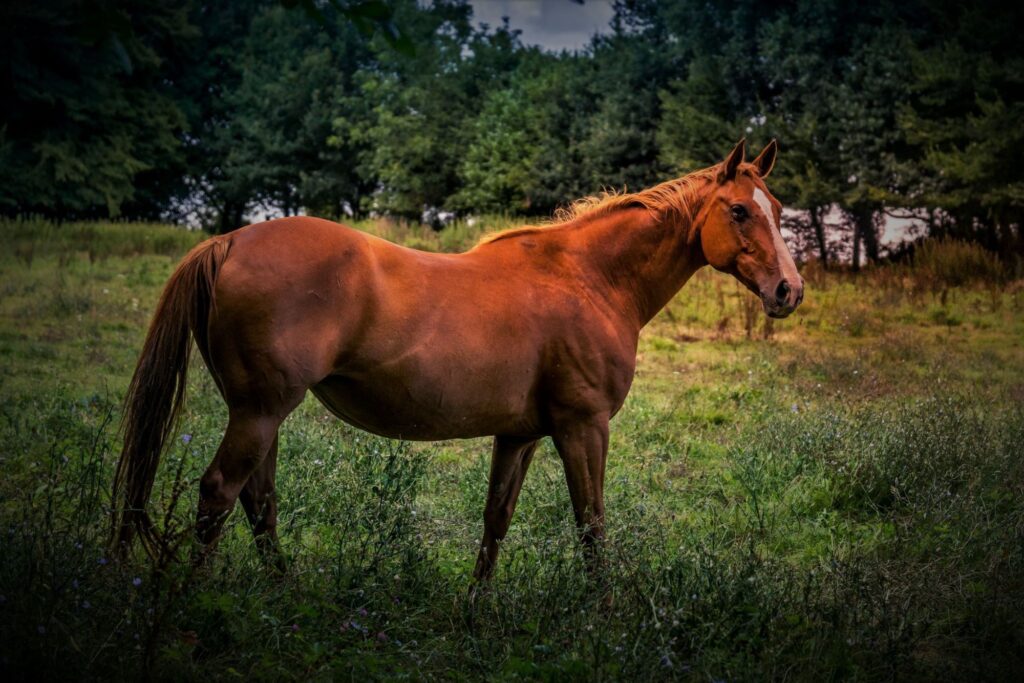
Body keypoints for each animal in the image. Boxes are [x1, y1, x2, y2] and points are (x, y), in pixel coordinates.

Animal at [111, 139, 803, 580]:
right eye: (738, 210)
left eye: (778, 210)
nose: (788, 291)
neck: (589, 278)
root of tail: (229, 241)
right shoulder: (584, 428)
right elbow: (591, 526)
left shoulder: (521, 433)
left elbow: (496, 521)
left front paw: (475, 614)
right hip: (258, 412)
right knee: (219, 496)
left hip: (263, 415)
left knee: (259, 502)